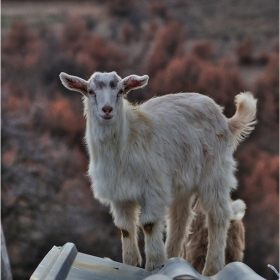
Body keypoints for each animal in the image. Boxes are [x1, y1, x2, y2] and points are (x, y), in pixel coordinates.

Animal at [60, 70, 258, 276]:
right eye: (90, 91)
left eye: (121, 91)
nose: (107, 110)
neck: (128, 139)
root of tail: (226, 120)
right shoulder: (119, 194)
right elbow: (125, 228)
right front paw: (129, 262)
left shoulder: (153, 188)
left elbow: (149, 224)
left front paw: (154, 264)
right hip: (183, 183)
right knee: (180, 220)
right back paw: (172, 256)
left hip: (216, 173)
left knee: (217, 216)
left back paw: (211, 268)